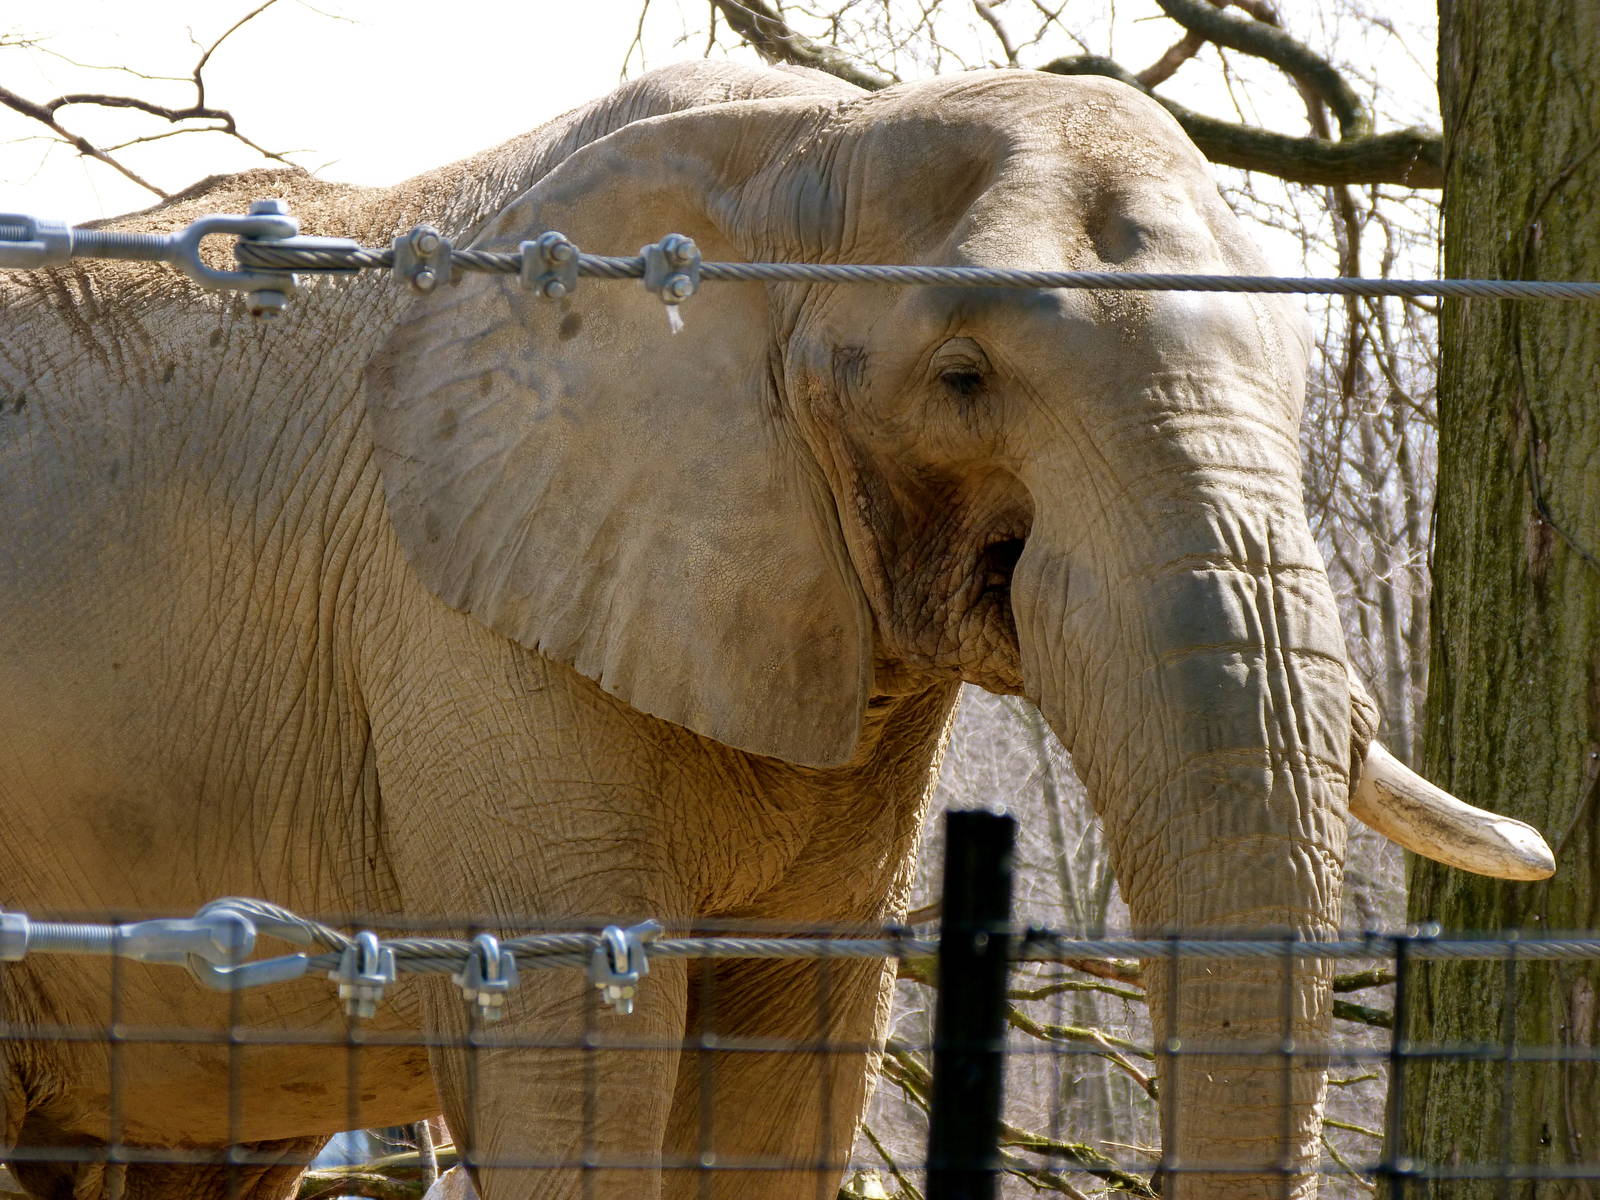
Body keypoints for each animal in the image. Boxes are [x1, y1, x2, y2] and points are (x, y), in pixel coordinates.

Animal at [0, 59, 1554, 1200]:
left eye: (1298, 373)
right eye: (963, 377)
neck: (800, 148)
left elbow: (785, 1069)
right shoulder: (459, 629)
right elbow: (573, 1067)